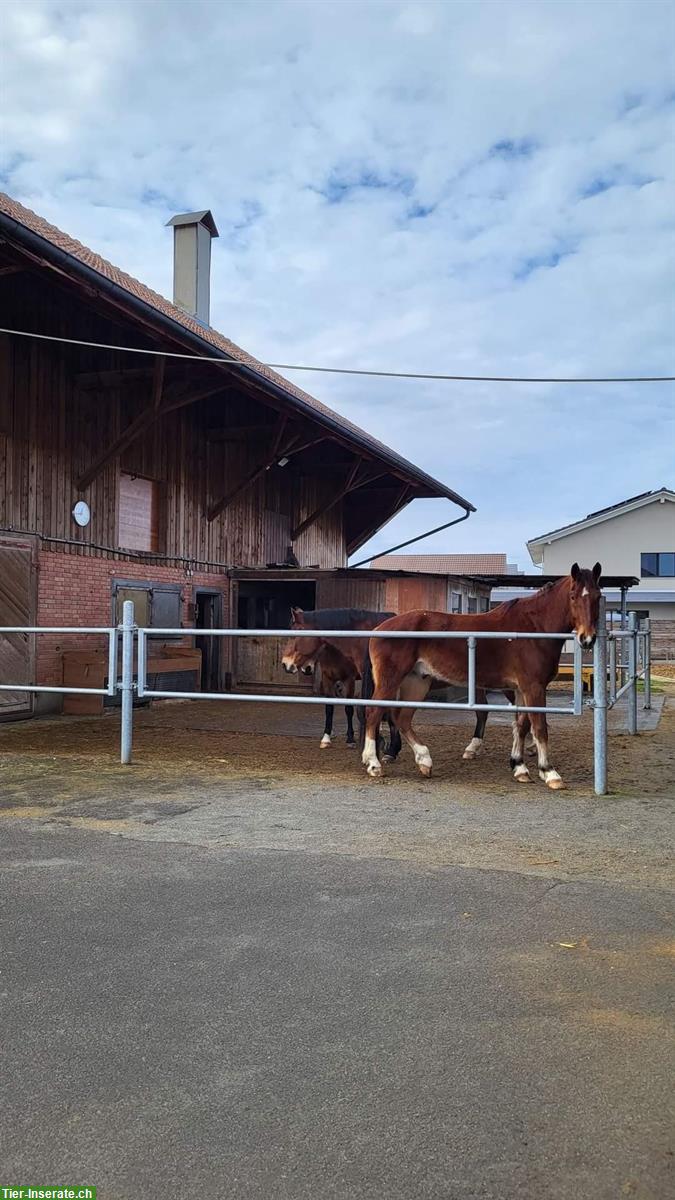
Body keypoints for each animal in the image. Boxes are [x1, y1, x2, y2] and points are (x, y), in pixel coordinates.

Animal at [278, 604, 398, 753]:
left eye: (297, 634)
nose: (285, 664)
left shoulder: (349, 680)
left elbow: (349, 708)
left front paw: (351, 740)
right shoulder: (328, 679)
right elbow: (329, 708)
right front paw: (326, 738)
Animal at [362, 561, 598, 787]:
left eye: (598, 595)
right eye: (573, 596)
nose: (588, 639)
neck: (533, 628)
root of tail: (379, 628)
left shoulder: (520, 689)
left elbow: (521, 725)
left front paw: (519, 767)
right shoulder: (534, 688)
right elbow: (539, 727)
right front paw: (549, 773)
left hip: (417, 682)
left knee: (402, 718)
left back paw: (425, 761)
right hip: (391, 680)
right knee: (374, 712)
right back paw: (374, 764)